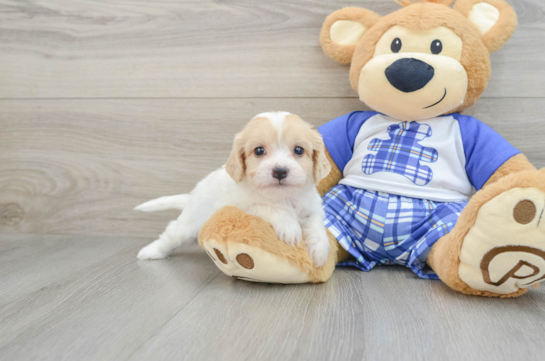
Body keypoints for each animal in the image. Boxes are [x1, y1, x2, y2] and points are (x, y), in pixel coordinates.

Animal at [136, 112, 332, 268]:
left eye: (298, 150)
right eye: (259, 151)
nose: (280, 171)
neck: (282, 197)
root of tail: (192, 195)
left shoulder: (312, 206)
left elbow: (316, 222)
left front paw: (320, 249)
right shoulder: (239, 206)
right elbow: (270, 208)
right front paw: (289, 225)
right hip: (189, 223)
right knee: (171, 235)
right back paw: (151, 251)